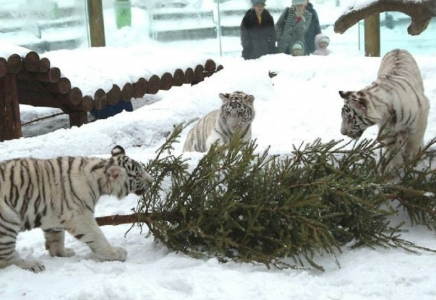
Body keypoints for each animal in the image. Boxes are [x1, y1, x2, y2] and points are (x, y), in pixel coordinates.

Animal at [0, 146, 153, 274]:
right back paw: (32, 265)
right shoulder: (79, 215)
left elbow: (57, 238)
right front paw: (115, 253)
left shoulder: (53, 216)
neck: (99, 177)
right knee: (5, 259)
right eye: (138, 175)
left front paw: (61, 253)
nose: (151, 181)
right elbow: (97, 235)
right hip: (8, 220)